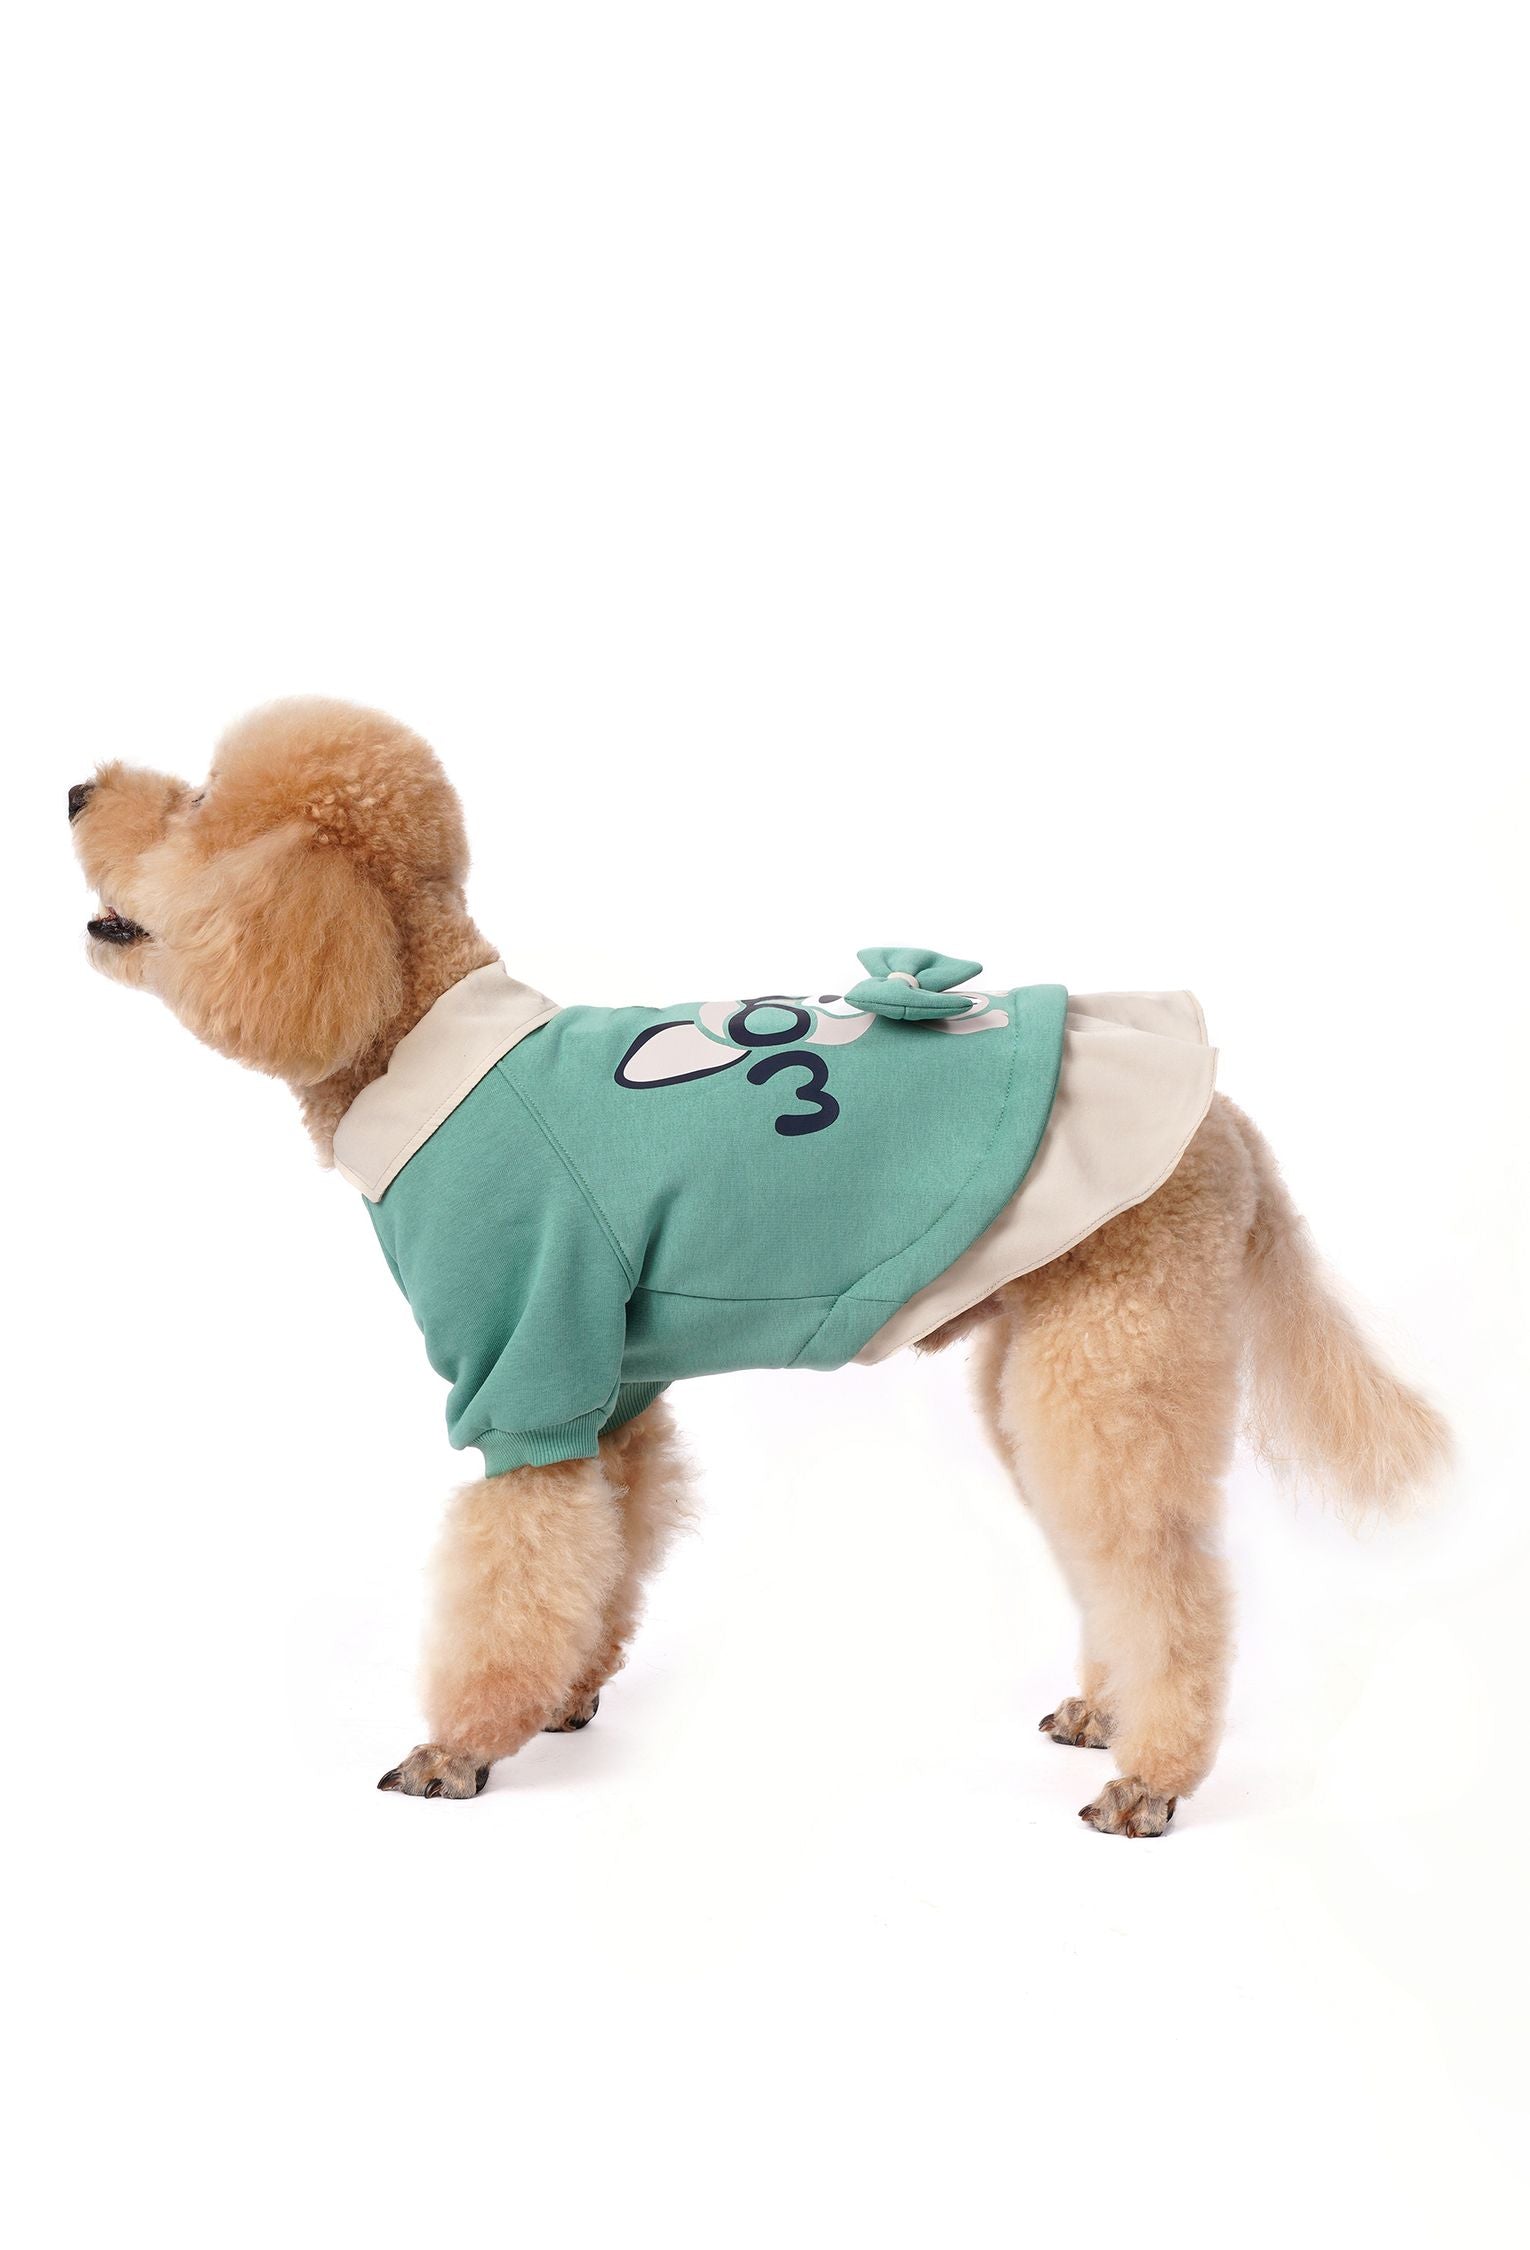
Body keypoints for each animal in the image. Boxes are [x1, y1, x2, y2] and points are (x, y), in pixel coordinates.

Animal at [69, 697, 1449, 1834]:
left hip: (1120, 1347)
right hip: (1053, 1362)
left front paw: (461, 1750)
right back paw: (1104, 1714)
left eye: (198, 798)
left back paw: (1152, 1776)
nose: (75, 787)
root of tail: (1223, 1119)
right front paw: (569, 1697)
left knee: (1165, 1567)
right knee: (1110, 1553)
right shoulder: (608, 1388)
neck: (408, 1029)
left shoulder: (526, 1369)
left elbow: (509, 1573)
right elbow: (603, 1549)